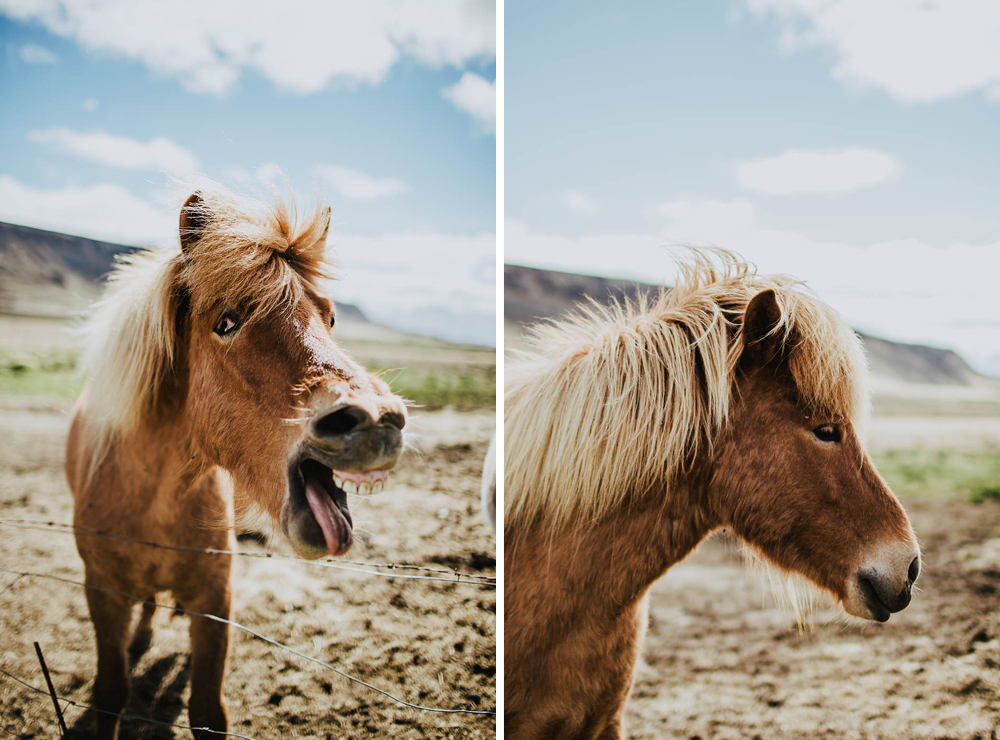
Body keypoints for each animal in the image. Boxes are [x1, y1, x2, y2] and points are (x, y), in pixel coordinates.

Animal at [65, 185, 406, 740]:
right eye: (226, 322)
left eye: (331, 319)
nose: (376, 420)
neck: (153, 499)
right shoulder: (102, 592)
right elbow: (111, 693)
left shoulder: (216, 598)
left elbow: (208, 711)